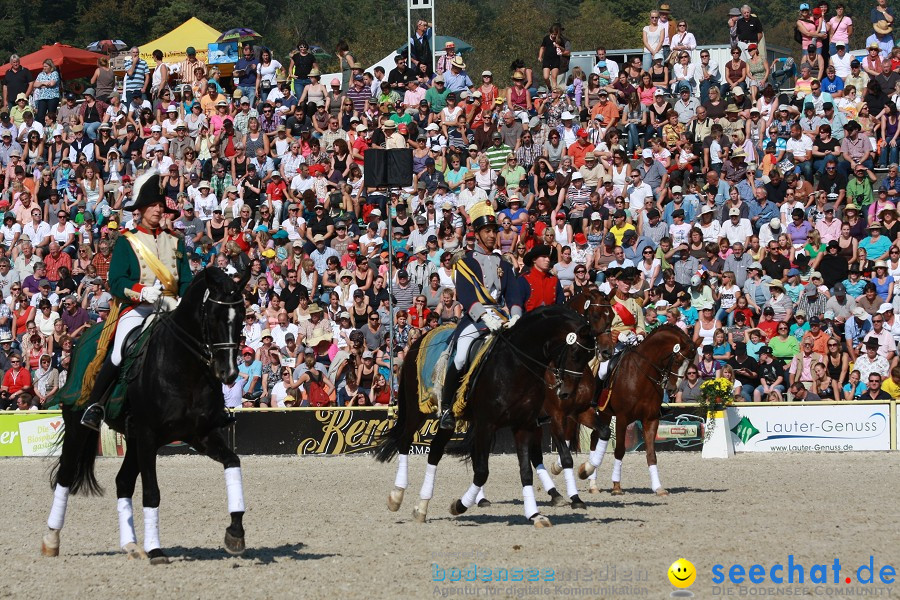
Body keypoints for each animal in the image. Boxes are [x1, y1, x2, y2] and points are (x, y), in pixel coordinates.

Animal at [43, 268, 250, 564]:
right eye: (213, 316)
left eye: (242, 317)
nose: (229, 373)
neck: (184, 368)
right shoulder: (149, 435)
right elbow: (152, 493)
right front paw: (156, 550)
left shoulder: (201, 435)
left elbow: (233, 462)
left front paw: (235, 533)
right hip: (80, 426)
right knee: (66, 475)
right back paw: (51, 539)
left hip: (132, 439)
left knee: (123, 482)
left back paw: (131, 545)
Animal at [376, 308, 596, 528]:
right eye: (575, 354)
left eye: (590, 356)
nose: (567, 393)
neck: (515, 365)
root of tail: (419, 340)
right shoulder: (486, 425)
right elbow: (482, 472)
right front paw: (459, 506)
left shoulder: (524, 425)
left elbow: (526, 471)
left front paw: (535, 515)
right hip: (417, 410)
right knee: (405, 441)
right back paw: (396, 495)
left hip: (449, 424)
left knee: (435, 452)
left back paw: (421, 507)